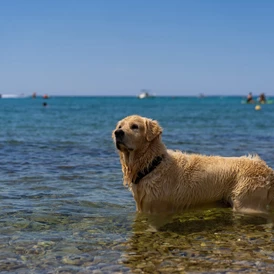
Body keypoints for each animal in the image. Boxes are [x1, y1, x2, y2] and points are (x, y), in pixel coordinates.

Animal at [112, 114, 274, 215]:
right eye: (120, 126)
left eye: (134, 126)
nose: (117, 133)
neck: (152, 164)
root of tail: (267, 169)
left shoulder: (158, 208)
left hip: (246, 203)